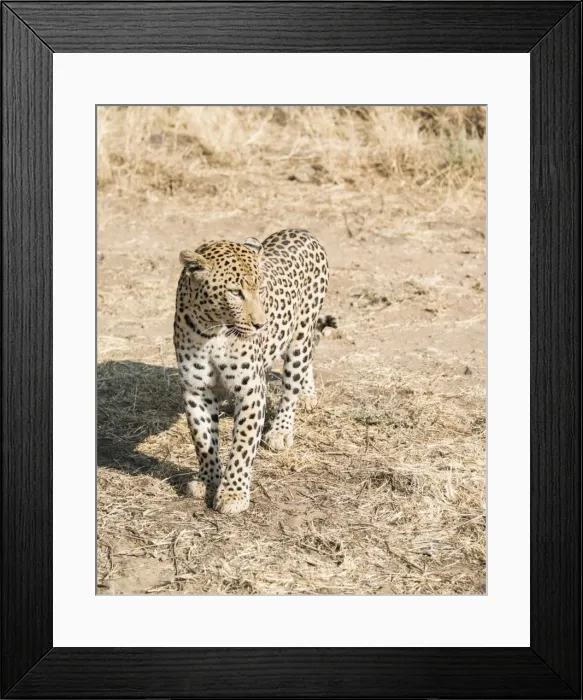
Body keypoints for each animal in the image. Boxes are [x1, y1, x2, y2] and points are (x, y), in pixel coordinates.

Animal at [173, 228, 332, 515]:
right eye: (235, 292)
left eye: (262, 289)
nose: (261, 324)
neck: (213, 331)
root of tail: (301, 231)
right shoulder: (196, 389)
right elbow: (203, 439)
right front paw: (209, 480)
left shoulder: (251, 388)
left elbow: (243, 444)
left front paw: (233, 493)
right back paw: (308, 395)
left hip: (300, 333)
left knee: (293, 381)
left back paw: (282, 429)